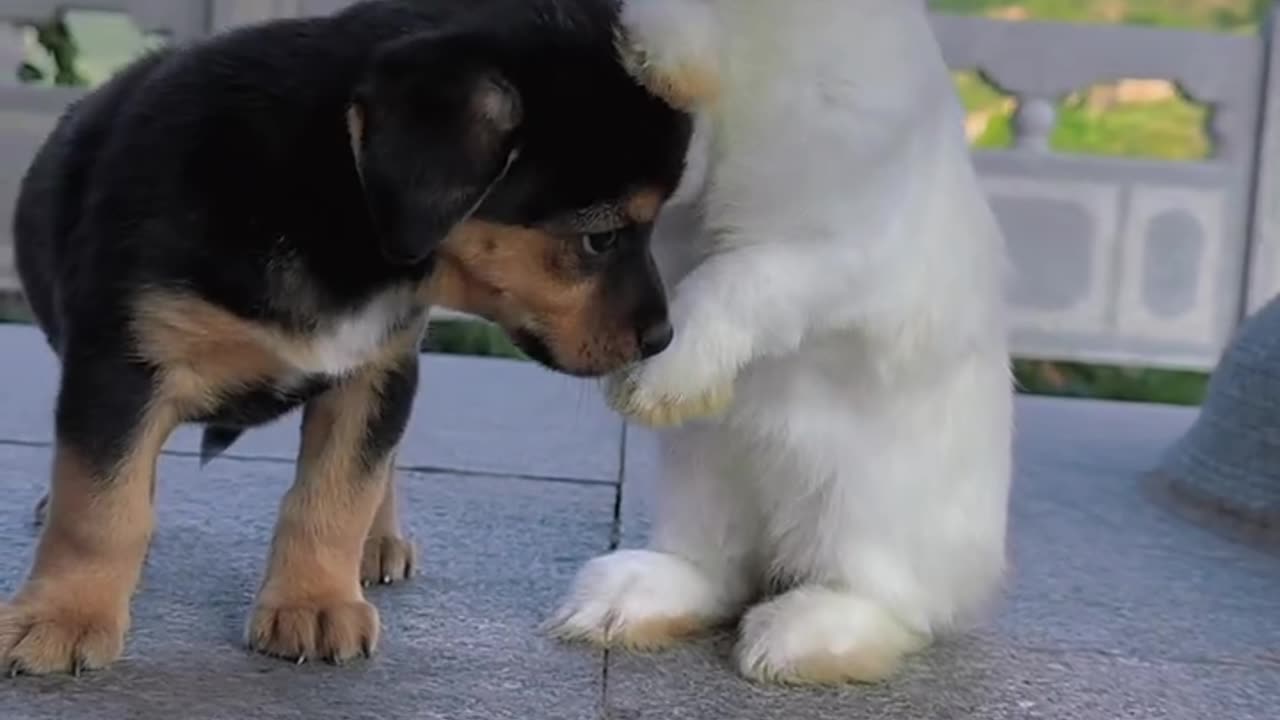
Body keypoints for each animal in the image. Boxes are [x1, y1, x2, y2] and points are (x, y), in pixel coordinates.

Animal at [0, 0, 691, 671]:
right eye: (600, 238)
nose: (660, 338)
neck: (323, 207)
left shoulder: (376, 369)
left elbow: (338, 492)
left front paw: (314, 603)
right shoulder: (124, 363)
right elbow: (100, 506)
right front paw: (62, 617)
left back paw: (377, 541)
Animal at [545, 0, 1013, 681]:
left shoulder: (838, 246)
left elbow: (743, 279)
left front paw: (657, 383)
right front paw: (660, 56)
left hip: (861, 510)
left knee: (891, 606)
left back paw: (789, 644)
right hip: (702, 475)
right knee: (718, 572)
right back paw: (618, 605)